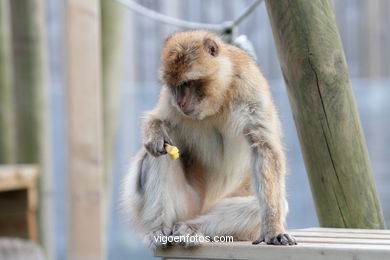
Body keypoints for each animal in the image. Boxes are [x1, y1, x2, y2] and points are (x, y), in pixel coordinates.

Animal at [122, 30, 296, 248]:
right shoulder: (169, 102)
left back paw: (191, 228)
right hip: (186, 206)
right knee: (158, 157)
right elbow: (158, 122)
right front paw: (155, 135)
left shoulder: (249, 87)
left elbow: (263, 148)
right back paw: (160, 229)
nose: (180, 101)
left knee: (259, 207)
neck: (219, 99)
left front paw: (274, 228)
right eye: (174, 86)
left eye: (186, 83)